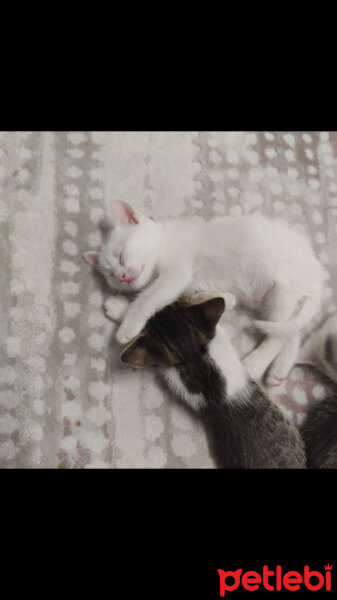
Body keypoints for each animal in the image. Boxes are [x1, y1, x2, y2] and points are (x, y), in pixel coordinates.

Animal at [83, 197, 322, 384]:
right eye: (110, 274)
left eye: (121, 255)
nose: (122, 277)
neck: (163, 243)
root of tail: (317, 276)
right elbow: (203, 300)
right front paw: (118, 307)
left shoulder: (177, 272)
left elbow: (149, 297)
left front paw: (128, 325)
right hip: (271, 302)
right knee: (289, 331)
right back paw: (279, 371)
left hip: (282, 290)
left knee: (277, 336)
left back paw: (256, 363)